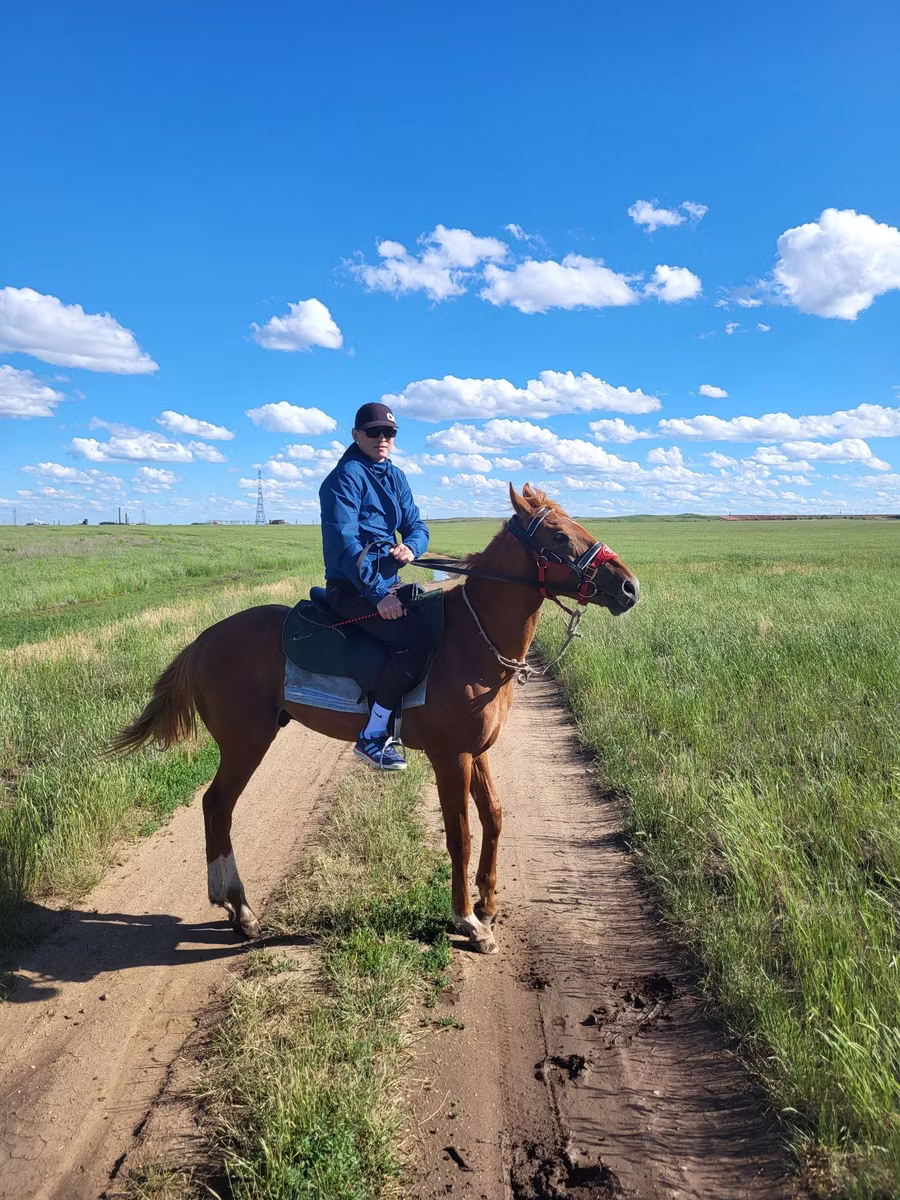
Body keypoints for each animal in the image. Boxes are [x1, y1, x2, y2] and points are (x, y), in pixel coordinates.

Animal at [112, 484, 640, 954]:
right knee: (217, 806)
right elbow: (461, 836)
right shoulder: (451, 758)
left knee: (215, 807)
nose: (629, 586)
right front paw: (469, 921)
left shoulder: (477, 753)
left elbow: (493, 818)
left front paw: (488, 905)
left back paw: (231, 906)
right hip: (246, 743)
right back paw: (239, 908)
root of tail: (202, 641)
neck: (473, 639)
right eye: (558, 537)